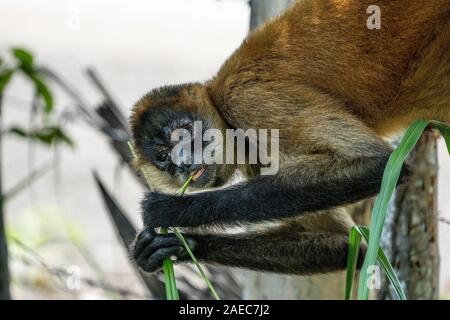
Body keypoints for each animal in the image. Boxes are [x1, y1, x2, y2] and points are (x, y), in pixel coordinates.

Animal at [128, 0, 450, 276]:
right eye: (162, 157)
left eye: (184, 134)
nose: (182, 163)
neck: (217, 97)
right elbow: (349, 245)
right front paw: (179, 246)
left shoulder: (244, 97)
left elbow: (375, 163)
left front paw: (172, 210)